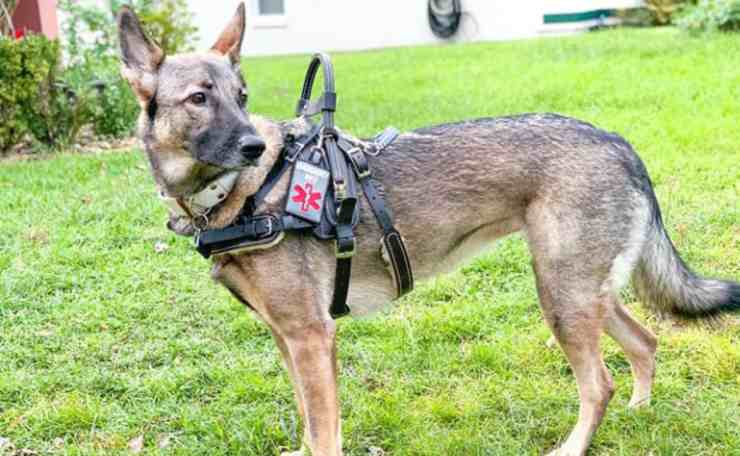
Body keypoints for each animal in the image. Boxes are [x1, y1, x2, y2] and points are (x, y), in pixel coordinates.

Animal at [117, 4, 740, 456]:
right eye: (200, 99)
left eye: (241, 98)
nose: (251, 145)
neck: (249, 191)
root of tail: (617, 140)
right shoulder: (287, 338)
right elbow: (307, 424)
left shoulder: (312, 338)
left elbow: (323, 432)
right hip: (583, 293)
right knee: (646, 342)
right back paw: (640, 411)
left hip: (562, 297)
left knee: (599, 384)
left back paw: (574, 445)